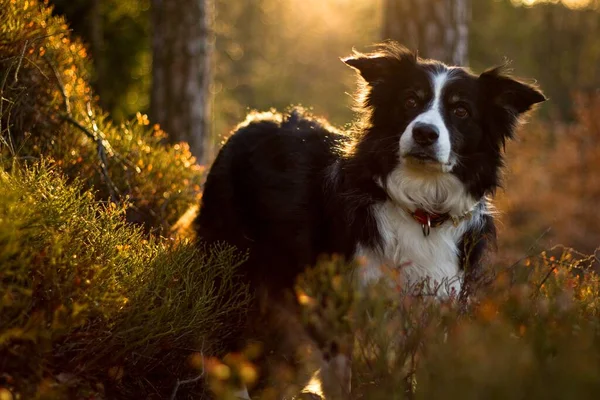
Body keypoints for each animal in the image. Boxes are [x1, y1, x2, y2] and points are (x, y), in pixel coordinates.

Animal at [196, 42, 544, 398]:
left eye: (461, 110)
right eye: (410, 100)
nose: (424, 133)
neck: (421, 208)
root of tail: (253, 120)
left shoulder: (436, 309)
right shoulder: (338, 305)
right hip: (235, 270)